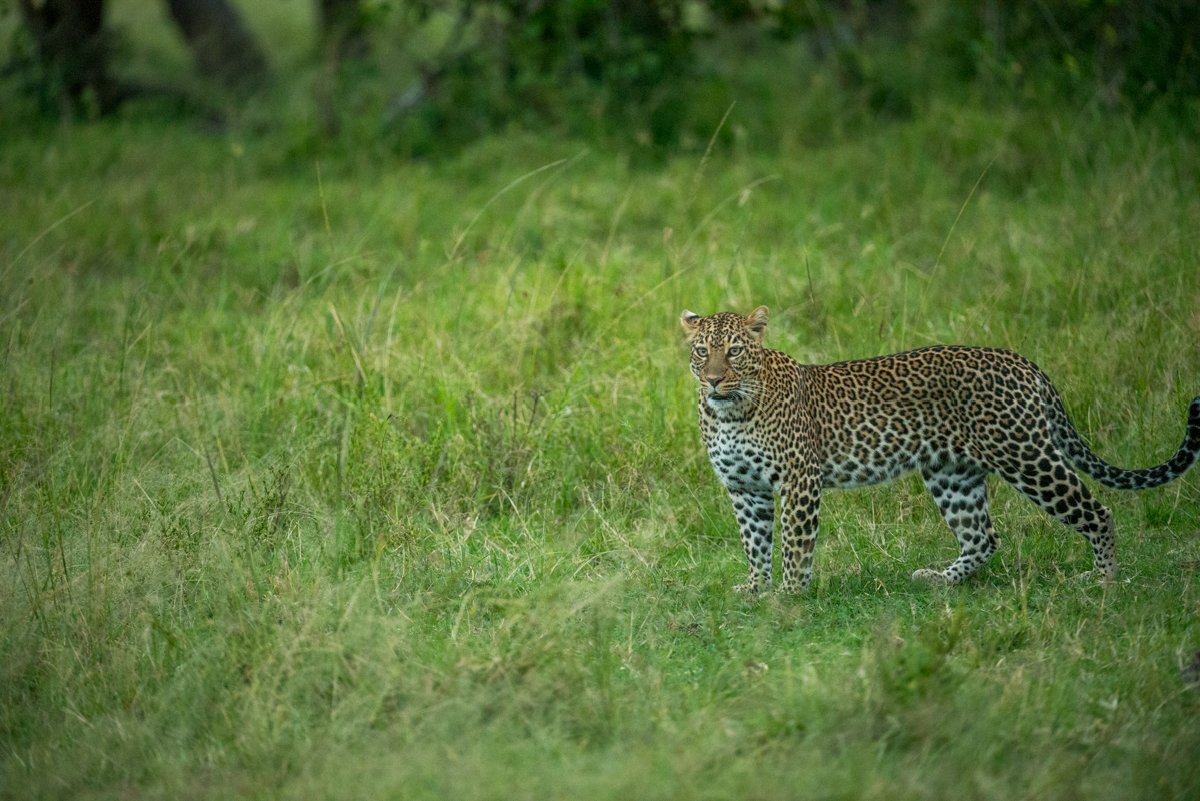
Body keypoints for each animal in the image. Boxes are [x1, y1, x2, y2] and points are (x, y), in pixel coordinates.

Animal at [681, 305, 1200, 593]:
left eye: (735, 351)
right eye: (701, 351)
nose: (713, 380)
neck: (730, 412)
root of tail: (1022, 361)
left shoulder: (798, 479)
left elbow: (793, 542)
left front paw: (790, 594)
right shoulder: (744, 489)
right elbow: (754, 542)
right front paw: (755, 589)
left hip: (1026, 456)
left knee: (1099, 512)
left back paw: (1102, 580)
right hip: (952, 473)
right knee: (982, 536)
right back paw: (941, 582)